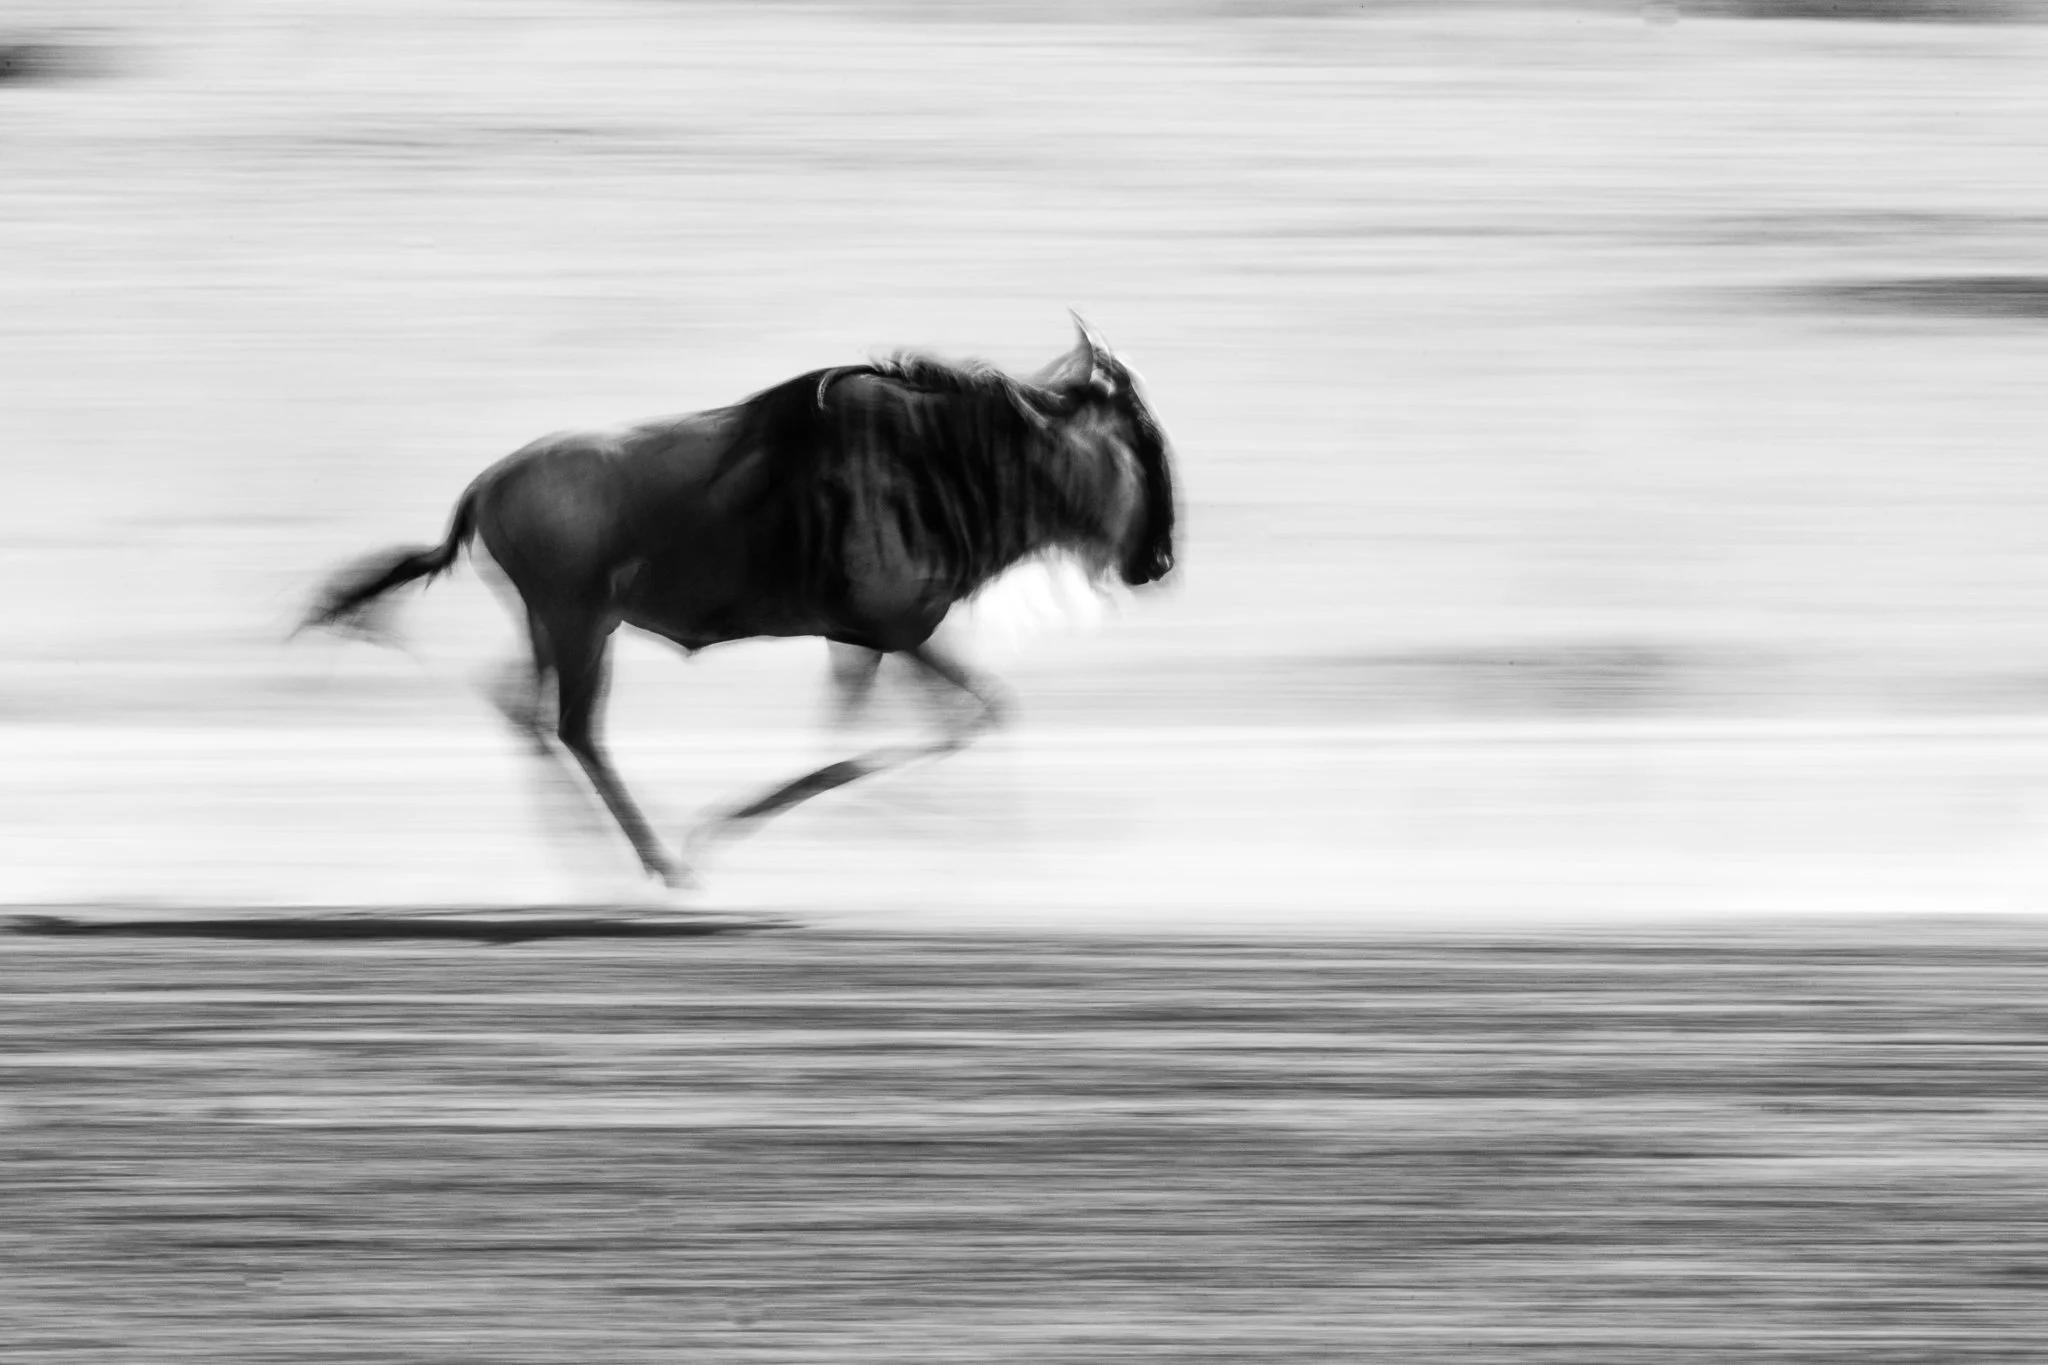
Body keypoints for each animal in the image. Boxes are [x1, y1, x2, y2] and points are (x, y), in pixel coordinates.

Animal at [299, 315, 1178, 887]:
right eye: (1143, 441)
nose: (1159, 562)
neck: (950, 462)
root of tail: (484, 486)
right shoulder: (894, 630)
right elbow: (974, 713)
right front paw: (724, 827)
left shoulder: (866, 640)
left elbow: (883, 731)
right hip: (581, 622)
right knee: (574, 725)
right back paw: (658, 861)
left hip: (553, 620)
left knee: (520, 708)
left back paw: (598, 856)